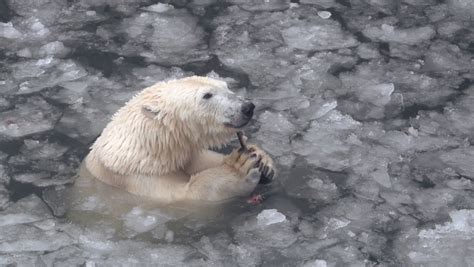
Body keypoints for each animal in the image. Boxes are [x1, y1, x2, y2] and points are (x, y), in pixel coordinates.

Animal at [84, 76, 274, 204]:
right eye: (207, 95)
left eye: (226, 86)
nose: (247, 107)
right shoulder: (136, 179)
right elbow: (186, 195)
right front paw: (239, 168)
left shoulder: (185, 155)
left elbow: (203, 160)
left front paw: (262, 159)